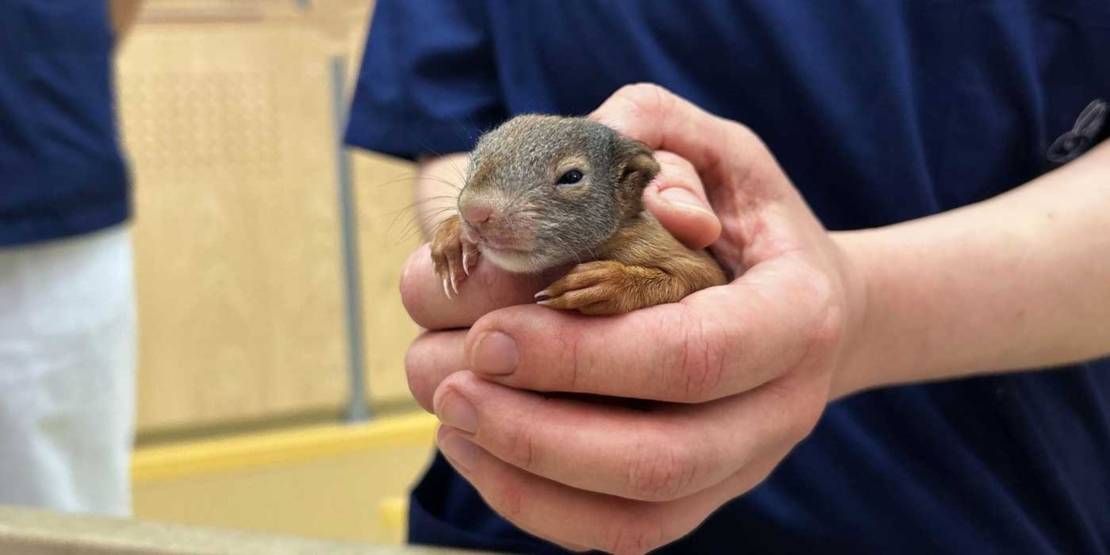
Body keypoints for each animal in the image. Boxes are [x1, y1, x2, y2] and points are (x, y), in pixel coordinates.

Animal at [430, 114, 727, 315]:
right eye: (474, 159)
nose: (473, 211)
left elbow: (697, 279)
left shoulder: (683, 254)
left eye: (572, 177)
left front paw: (606, 283)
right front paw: (452, 238)